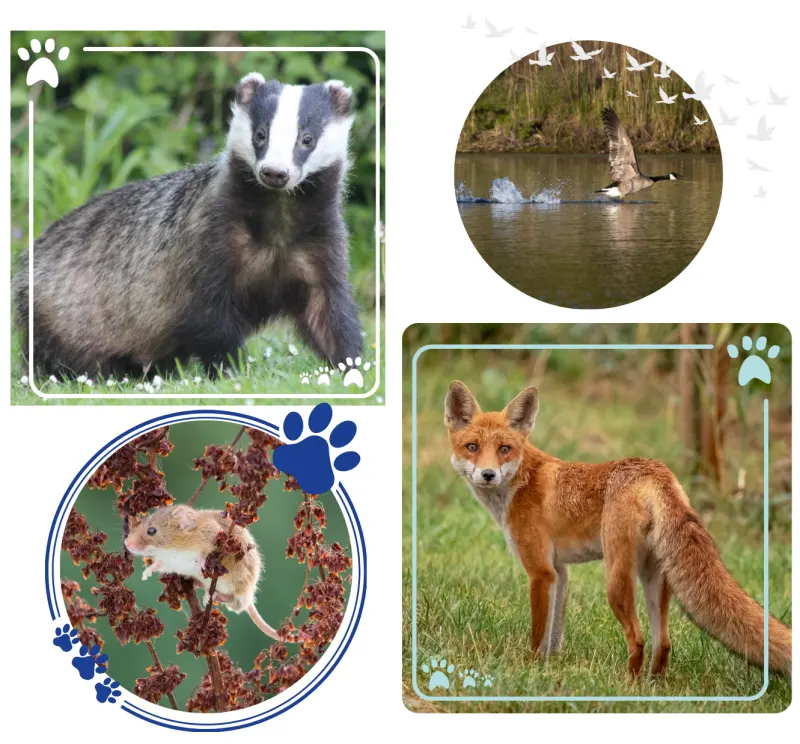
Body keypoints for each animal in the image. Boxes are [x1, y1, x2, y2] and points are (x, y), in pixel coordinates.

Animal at [444, 380, 791, 678]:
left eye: (504, 448)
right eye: (472, 446)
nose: (488, 475)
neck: (521, 482)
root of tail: (656, 471)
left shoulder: (540, 571)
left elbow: (538, 633)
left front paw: (529, 668)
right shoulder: (559, 571)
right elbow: (554, 634)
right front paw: (549, 667)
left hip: (615, 581)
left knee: (637, 639)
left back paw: (628, 686)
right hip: (654, 578)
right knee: (663, 642)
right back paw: (652, 687)